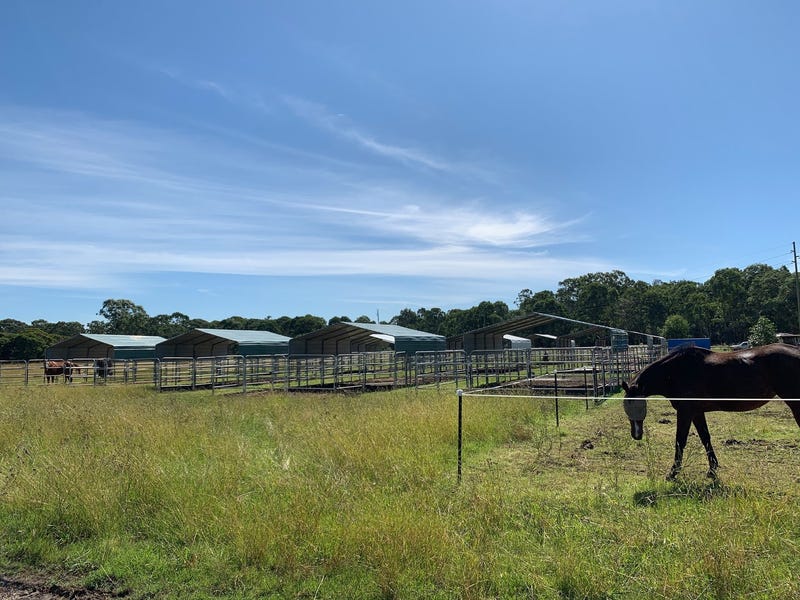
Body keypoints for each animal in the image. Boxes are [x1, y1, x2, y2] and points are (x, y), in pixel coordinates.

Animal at [622, 343, 800, 480]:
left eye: (636, 405)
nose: (636, 435)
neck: (676, 371)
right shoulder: (696, 412)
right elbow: (705, 438)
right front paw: (712, 470)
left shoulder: (685, 412)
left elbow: (680, 440)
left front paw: (672, 473)